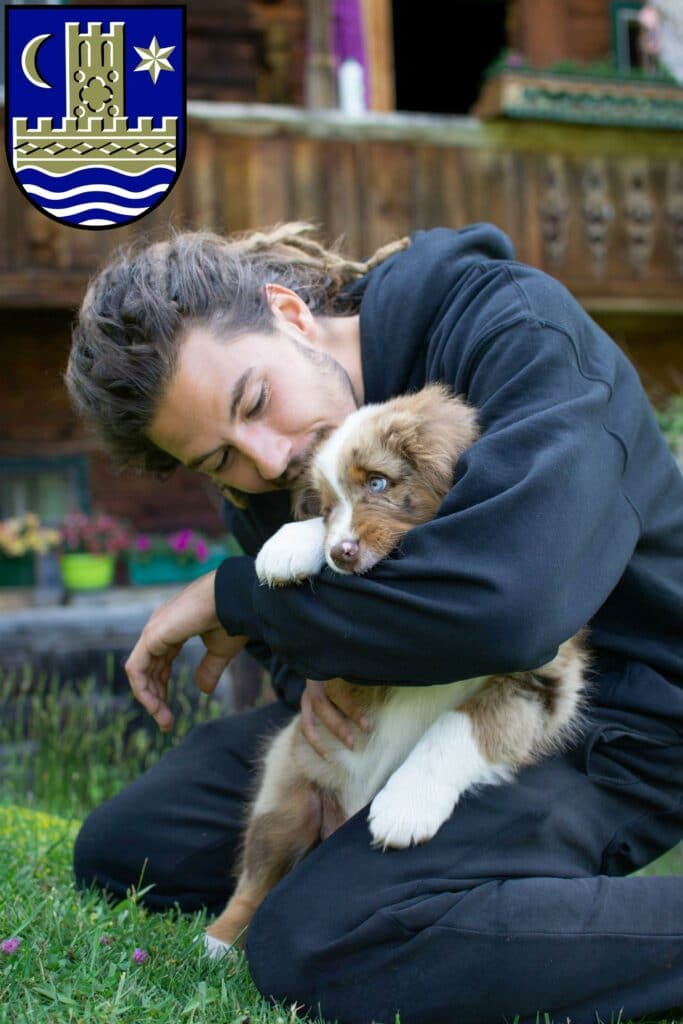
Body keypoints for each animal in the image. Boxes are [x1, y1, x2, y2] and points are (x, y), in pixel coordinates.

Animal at [204, 380, 589, 954]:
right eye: (325, 506)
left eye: (378, 483)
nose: (341, 553)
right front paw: (286, 546)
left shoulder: (543, 679)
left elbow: (459, 727)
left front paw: (406, 808)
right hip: (286, 793)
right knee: (254, 877)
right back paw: (217, 944)